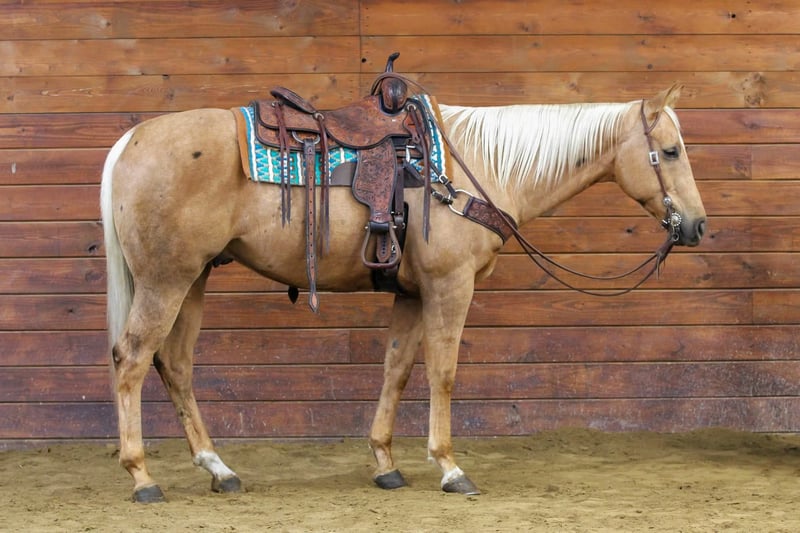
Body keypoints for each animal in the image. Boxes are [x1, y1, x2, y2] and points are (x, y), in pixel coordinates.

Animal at [101, 83, 706, 502]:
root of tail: (130, 140)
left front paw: (386, 464)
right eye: (672, 151)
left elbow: (397, 368)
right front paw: (450, 467)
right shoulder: (449, 286)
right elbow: (443, 371)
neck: (475, 167)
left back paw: (219, 469)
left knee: (175, 364)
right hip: (167, 280)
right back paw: (141, 477)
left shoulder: (412, 294)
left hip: (193, 278)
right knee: (132, 359)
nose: (697, 226)